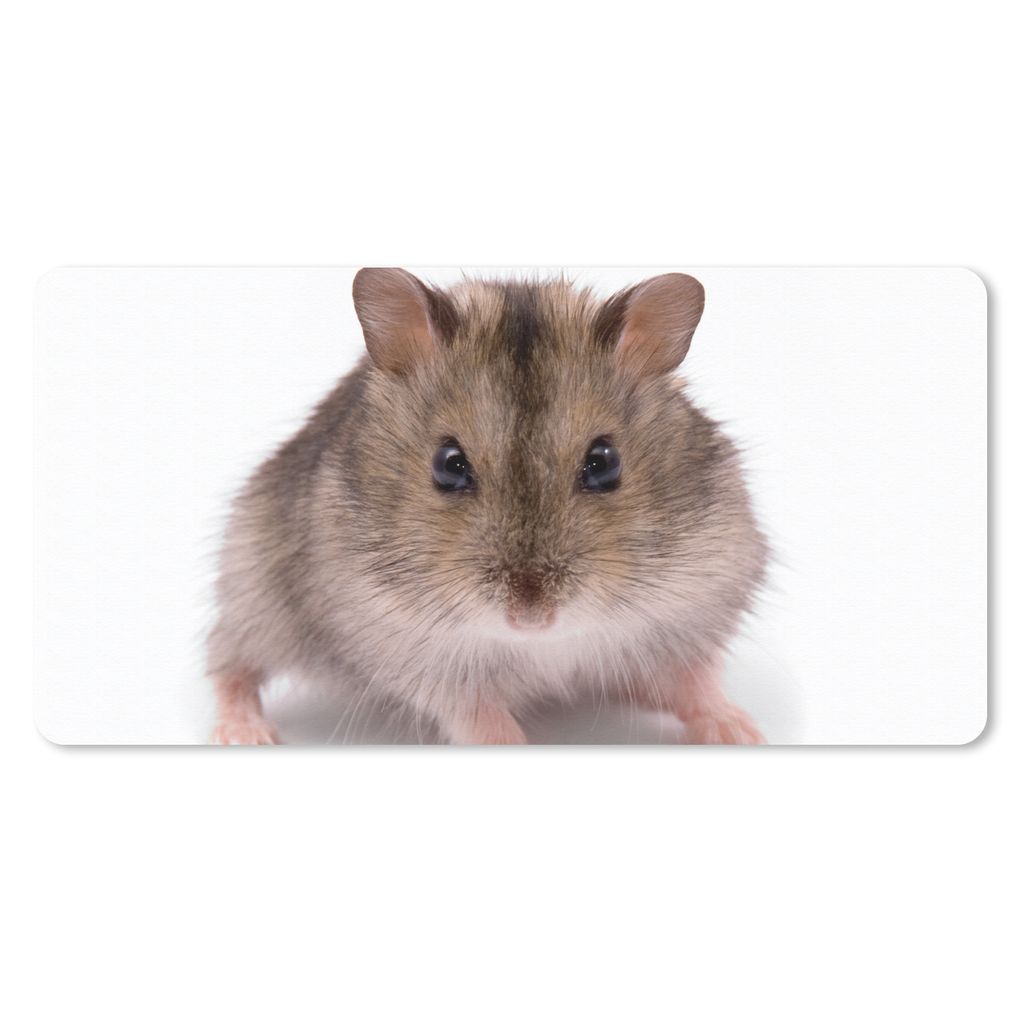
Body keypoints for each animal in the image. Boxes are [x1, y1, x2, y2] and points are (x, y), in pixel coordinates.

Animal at [207, 269, 768, 744]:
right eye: (449, 465)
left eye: (604, 463)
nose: (531, 616)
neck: (544, 645)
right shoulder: (415, 653)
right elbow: (479, 717)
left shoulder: (694, 608)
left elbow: (695, 681)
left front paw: (741, 733)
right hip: (252, 589)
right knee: (229, 664)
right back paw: (244, 735)